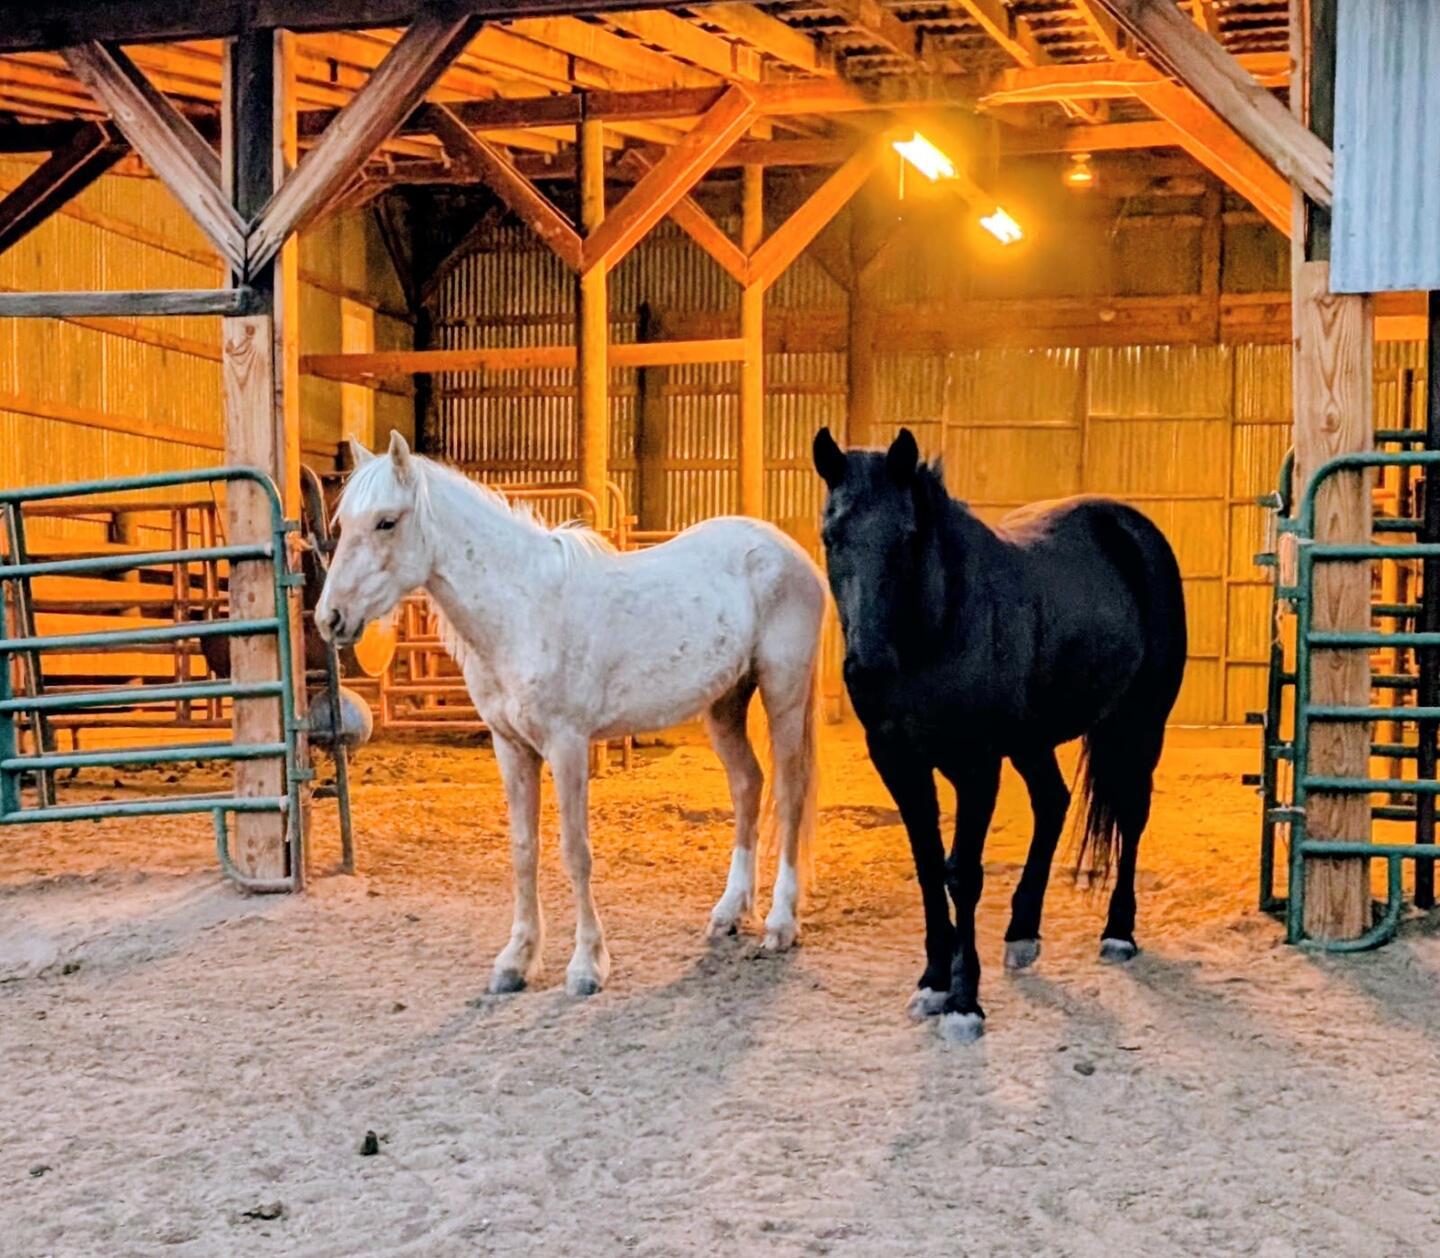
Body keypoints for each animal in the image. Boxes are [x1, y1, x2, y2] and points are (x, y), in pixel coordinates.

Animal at [316, 432, 825, 996]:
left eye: (386, 521)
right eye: (342, 524)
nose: (329, 618)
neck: (524, 610)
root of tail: (789, 551)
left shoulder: (567, 745)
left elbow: (575, 852)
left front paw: (586, 967)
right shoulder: (510, 746)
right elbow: (524, 849)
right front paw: (516, 961)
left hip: (783, 691)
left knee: (789, 793)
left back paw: (780, 924)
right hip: (725, 703)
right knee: (747, 785)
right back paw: (729, 913)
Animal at [812, 426, 1186, 1043]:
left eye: (907, 537)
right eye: (831, 534)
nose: (869, 667)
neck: (940, 624)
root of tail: (1134, 531)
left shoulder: (975, 765)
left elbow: (962, 874)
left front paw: (964, 1003)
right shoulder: (899, 762)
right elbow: (927, 866)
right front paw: (933, 983)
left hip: (1139, 724)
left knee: (1131, 815)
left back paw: (1118, 932)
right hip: (1033, 741)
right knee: (1053, 803)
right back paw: (1022, 933)